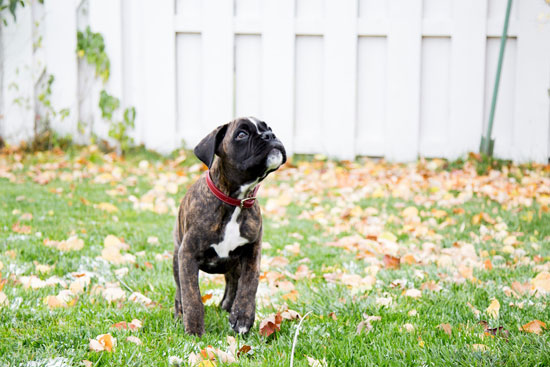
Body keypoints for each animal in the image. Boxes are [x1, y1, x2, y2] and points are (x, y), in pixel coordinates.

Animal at [175, 116, 288, 334]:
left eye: (268, 128)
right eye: (241, 134)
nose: (270, 135)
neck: (237, 200)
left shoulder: (252, 251)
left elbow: (249, 284)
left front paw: (242, 317)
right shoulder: (187, 254)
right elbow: (191, 295)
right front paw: (194, 328)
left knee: (233, 283)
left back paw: (228, 307)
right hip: (176, 256)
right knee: (179, 290)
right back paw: (179, 314)